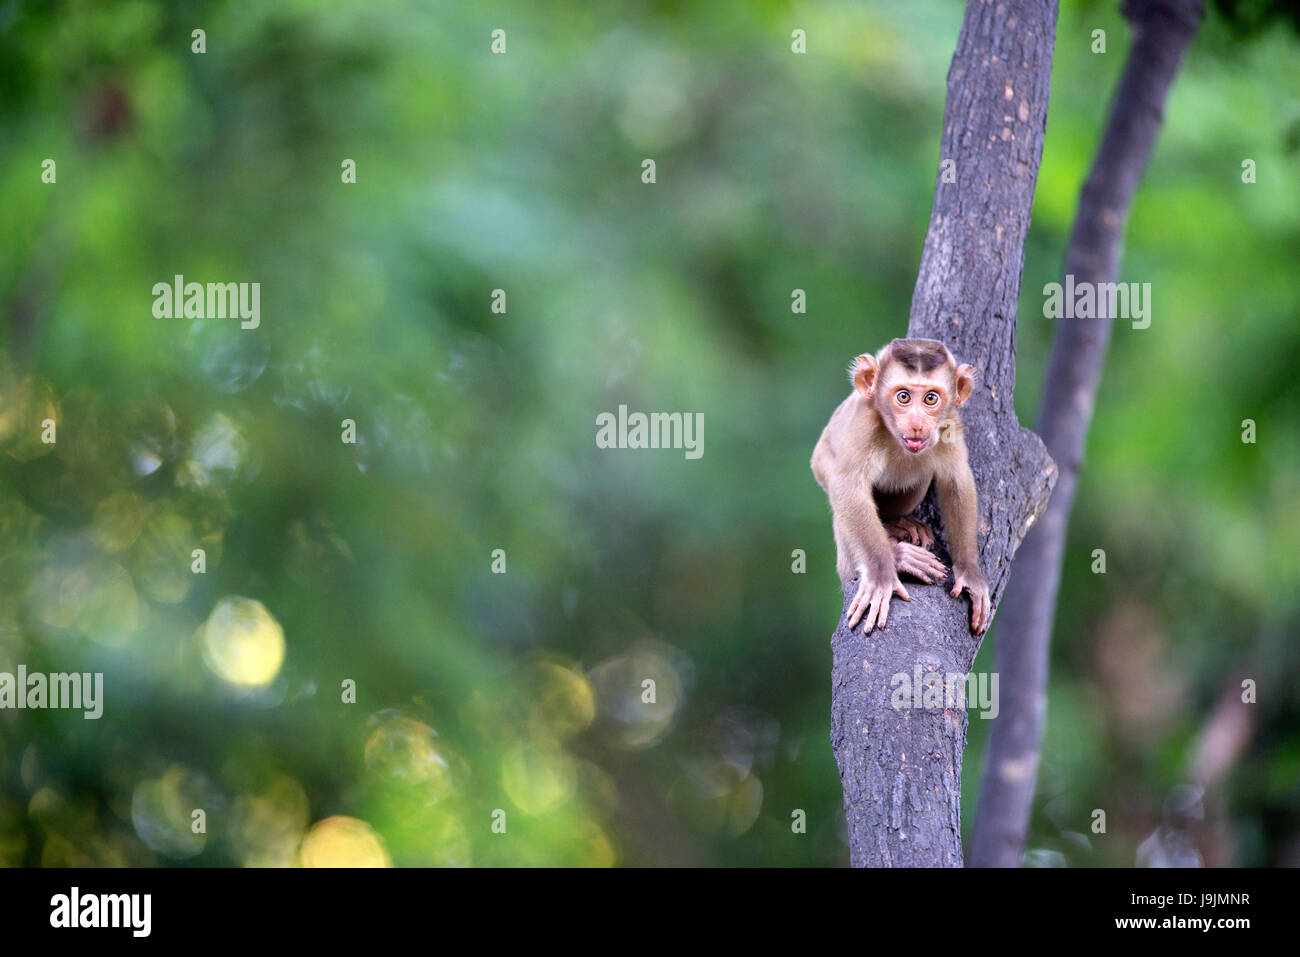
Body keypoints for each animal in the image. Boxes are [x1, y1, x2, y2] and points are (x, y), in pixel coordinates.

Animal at [811, 338, 990, 635]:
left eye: (931, 398)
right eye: (903, 397)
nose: (917, 424)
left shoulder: (950, 424)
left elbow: (957, 480)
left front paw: (969, 572)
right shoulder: (865, 423)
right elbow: (848, 485)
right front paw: (882, 574)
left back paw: (898, 523)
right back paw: (898, 555)